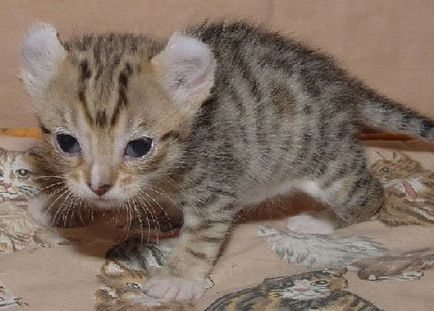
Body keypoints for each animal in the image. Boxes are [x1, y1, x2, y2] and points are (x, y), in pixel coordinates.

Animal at [18, 20, 434, 302]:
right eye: (66, 142)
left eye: (138, 147)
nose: (99, 185)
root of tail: (342, 82)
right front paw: (59, 204)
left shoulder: (214, 184)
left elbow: (203, 234)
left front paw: (179, 278)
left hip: (327, 162)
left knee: (369, 195)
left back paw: (320, 221)